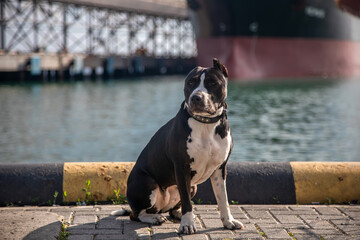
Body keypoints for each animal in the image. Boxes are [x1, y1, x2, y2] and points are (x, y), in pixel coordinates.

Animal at [111, 58, 243, 234]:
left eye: (212, 82)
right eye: (190, 82)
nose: (196, 97)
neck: (205, 124)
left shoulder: (220, 169)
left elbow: (223, 199)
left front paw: (228, 221)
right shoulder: (182, 168)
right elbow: (187, 202)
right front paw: (187, 225)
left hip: (193, 187)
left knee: (172, 209)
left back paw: (178, 214)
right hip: (148, 185)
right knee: (137, 214)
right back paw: (155, 218)